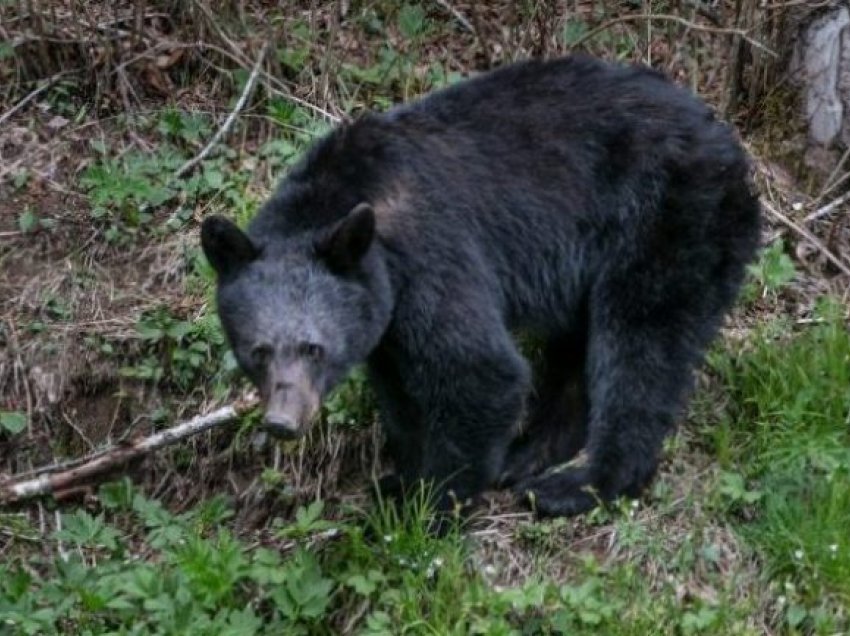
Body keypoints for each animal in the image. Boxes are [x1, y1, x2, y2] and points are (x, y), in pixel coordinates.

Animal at [202, 56, 760, 516]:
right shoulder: (383, 315)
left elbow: (481, 373)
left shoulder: (430, 258)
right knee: (578, 352)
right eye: (257, 350)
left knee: (642, 344)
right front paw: (401, 479)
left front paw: (430, 507)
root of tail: (730, 145)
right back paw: (529, 454)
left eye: (313, 348)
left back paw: (578, 484)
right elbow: (401, 393)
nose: (283, 422)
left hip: (668, 221)